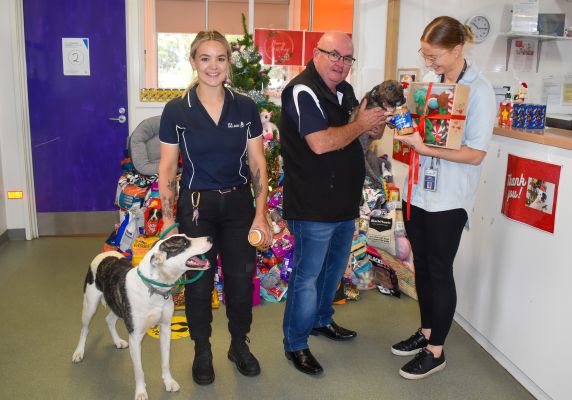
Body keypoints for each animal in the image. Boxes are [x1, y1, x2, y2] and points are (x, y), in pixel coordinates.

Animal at [71, 234, 212, 400]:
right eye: (184, 243)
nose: (210, 238)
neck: (154, 288)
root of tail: (103, 254)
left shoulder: (165, 329)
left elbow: (165, 362)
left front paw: (168, 382)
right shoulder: (135, 337)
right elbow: (139, 371)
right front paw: (140, 392)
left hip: (117, 306)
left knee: (109, 320)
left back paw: (117, 341)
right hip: (90, 305)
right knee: (85, 329)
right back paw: (79, 352)